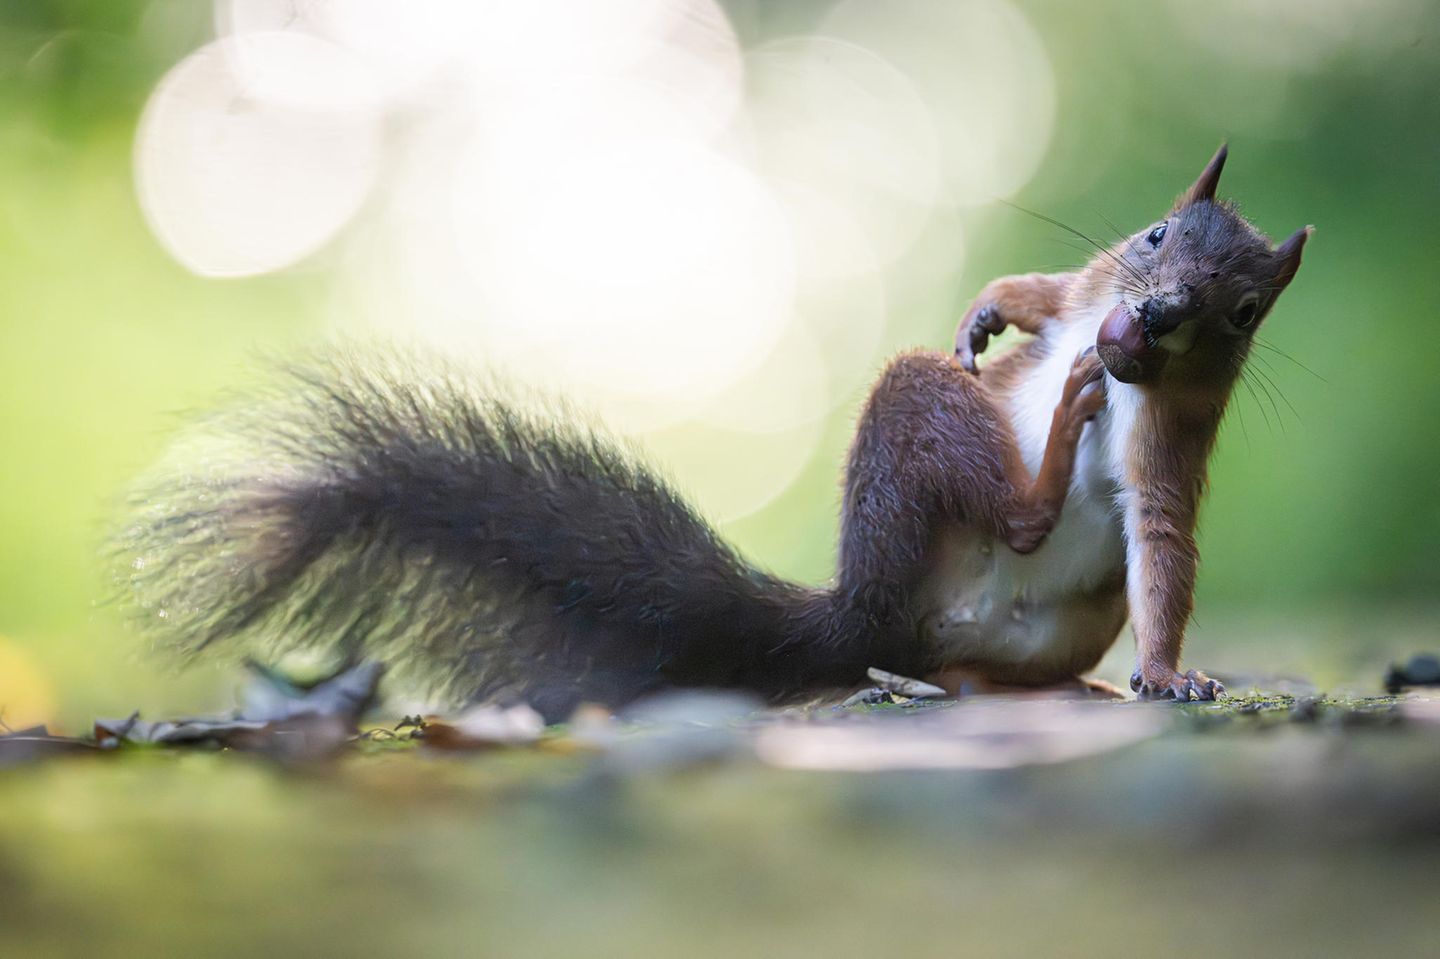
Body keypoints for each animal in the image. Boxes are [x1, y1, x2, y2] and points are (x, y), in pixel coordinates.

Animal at [119, 145, 1309, 721]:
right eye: (1154, 233)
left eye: (1243, 310)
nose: (1156, 313)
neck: (1124, 355)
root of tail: (864, 608)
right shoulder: (1082, 291)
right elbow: (1044, 287)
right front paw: (990, 313)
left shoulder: (1168, 441)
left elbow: (1162, 538)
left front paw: (1169, 672)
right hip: (917, 435)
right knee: (999, 510)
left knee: (1015, 556)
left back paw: (1074, 668)